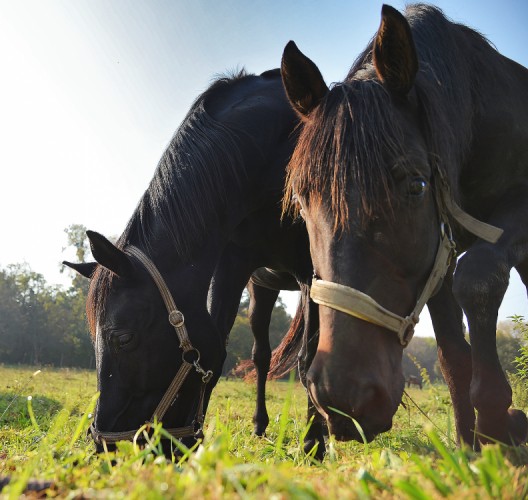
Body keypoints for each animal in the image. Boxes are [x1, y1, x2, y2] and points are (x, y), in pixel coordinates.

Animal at [63, 69, 324, 458]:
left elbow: (310, 358)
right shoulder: (232, 264)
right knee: (261, 355)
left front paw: (313, 444)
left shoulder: (313, 270)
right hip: (262, 287)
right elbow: (217, 348)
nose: (106, 447)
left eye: (122, 338)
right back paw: (260, 425)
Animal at [280, 3, 528, 448]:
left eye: (416, 185)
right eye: (301, 199)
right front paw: (469, 446)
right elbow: (452, 354)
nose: (343, 398)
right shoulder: (440, 250)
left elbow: (478, 276)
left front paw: (498, 420)